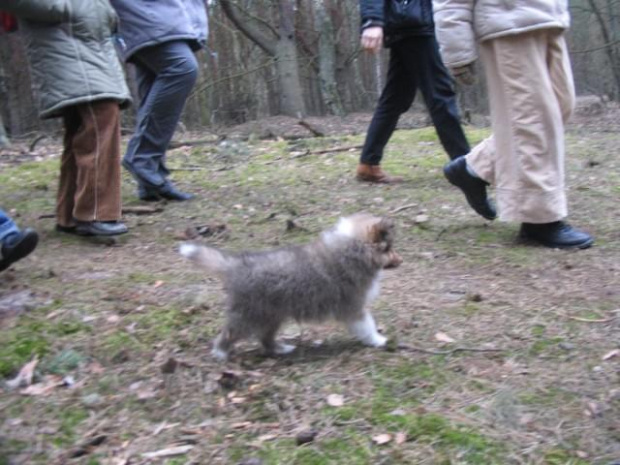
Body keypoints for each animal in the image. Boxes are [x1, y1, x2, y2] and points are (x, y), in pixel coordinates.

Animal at [179, 212, 402, 360]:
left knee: (265, 338)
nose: (401, 260)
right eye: (389, 248)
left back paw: (281, 349)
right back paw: (220, 353)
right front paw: (378, 340)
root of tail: (236, 266)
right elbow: (367, 325)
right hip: (248, 315)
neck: (355, 248)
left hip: (271, 316)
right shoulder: (354, 307)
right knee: (229, 333)